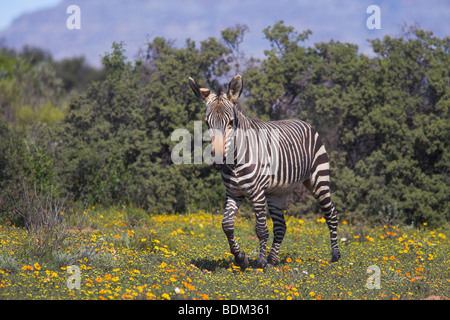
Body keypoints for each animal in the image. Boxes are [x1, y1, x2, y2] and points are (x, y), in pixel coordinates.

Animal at [187, 75, 342, 270]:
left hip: (318, 178)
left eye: (230, 122)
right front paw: (241, 258)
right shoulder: (233, 193)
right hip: (278, 192)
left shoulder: (257, 193)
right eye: (207, 123)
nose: (218, 160)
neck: (235, 162)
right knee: (281, 226)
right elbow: (227, 225)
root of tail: (303, 121)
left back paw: (335, 255)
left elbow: (260, 229)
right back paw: (272, 260)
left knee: (331, 213)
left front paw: (259, 262)